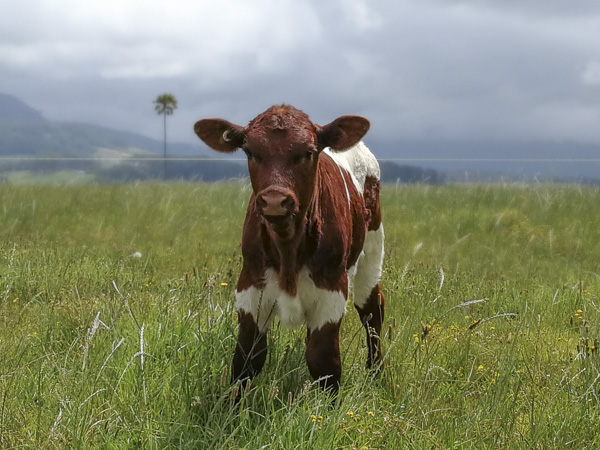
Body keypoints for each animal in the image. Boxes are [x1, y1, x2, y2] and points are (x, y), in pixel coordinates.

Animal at [195, 105, 386, 394]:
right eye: (250, 151)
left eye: (308, 152)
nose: (275, 200)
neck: (288, 248)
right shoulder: (250, 285)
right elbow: (246, 358)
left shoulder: (332, 287)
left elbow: (324, 361)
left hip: (372, 251)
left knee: (372, 312)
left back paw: (376, 374)